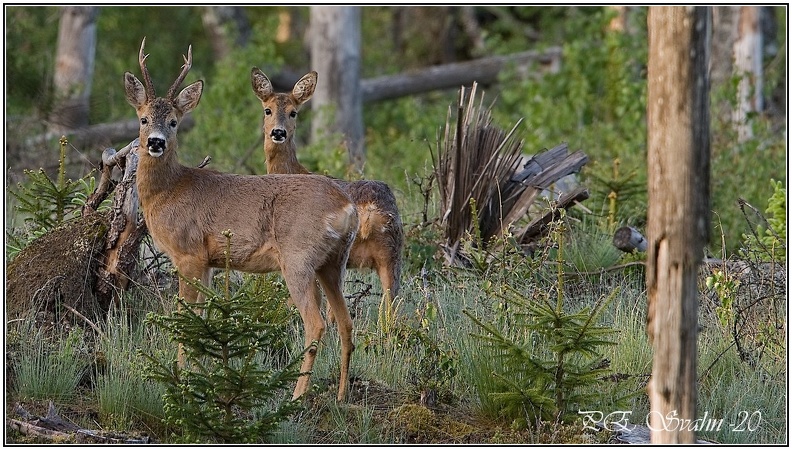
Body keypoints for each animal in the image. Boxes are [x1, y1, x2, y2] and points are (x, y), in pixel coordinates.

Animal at [125, 38, 358, 400]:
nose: (155, 142)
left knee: (316, 322)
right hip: (333, 262)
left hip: (298, 258)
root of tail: (347, 207)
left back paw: (297, 395)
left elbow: (185, 316)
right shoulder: (207, 261)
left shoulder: (189, 253)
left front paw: (182, 379)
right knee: (346, 323)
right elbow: (200, 317)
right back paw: (341, 395)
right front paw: (200, 373)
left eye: (174, 121)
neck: (170, 190)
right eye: (143, 119)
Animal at [251, 68, 406, 314]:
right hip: (392, 252)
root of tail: (370, 210)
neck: (297, 172)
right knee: (392, 308)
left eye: (294, 112)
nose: (278, 132)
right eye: (268, 110)